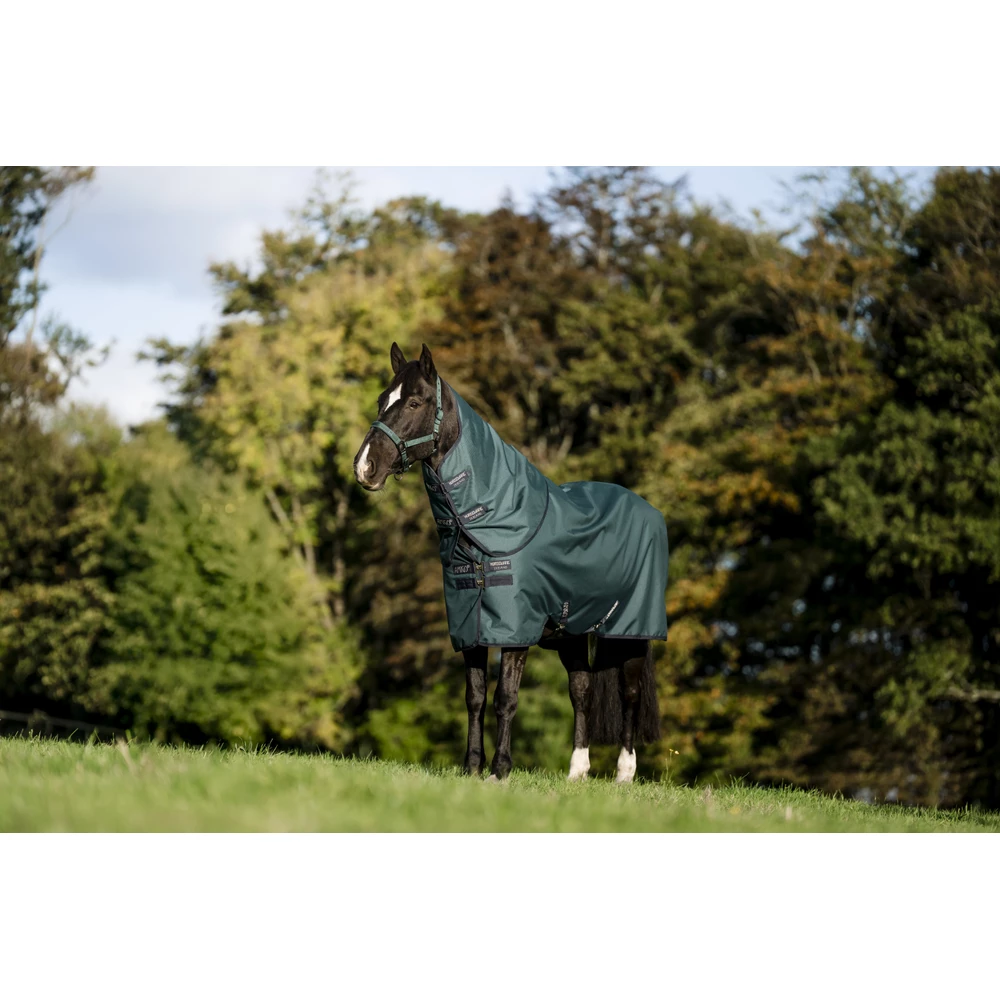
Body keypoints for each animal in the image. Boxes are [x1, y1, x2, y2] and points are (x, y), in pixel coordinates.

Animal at [353, 342, 669, 783]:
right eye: (383, 400)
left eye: (414, 401)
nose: (365, 467)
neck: (492, 520)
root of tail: (649, 511)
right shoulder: (470, 625)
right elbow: (475, 697)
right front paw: (471, 767)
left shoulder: (515, 632)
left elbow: (506, 697)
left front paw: (500, 770)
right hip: (571, 633)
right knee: (582, 690)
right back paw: (577, 771)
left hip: (631, 632)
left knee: (630, 692)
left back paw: (624, 773)